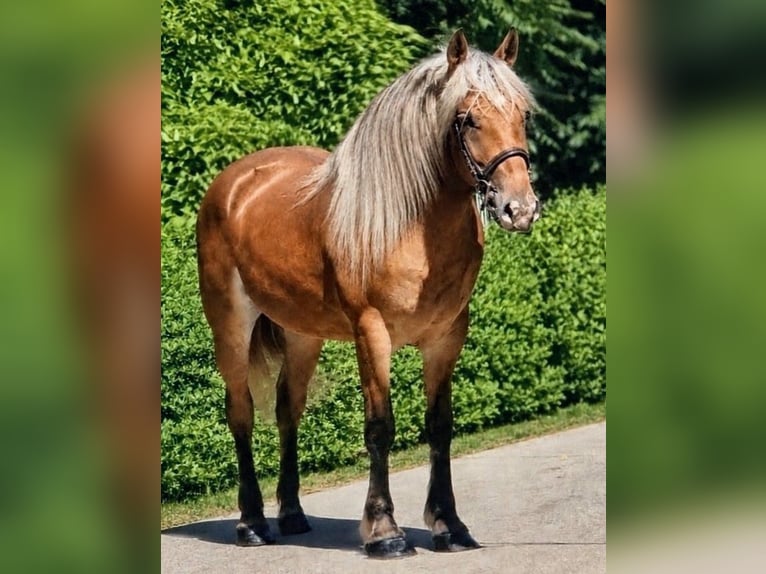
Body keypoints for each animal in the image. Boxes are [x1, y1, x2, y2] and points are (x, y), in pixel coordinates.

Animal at [196, 29, 539, 558]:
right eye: (467, 119)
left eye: (522, 115)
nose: (518, 209)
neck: (411, 226)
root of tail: (232, 184)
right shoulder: (371, 334)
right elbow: (380, 427)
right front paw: (385, 532)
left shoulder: (446, 338)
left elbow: (440, 427)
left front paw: (449, 526)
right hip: (231, 327)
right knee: (242, 414)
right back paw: (252, 524)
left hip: (302, 335)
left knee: (287, 410)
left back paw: (292, 516)